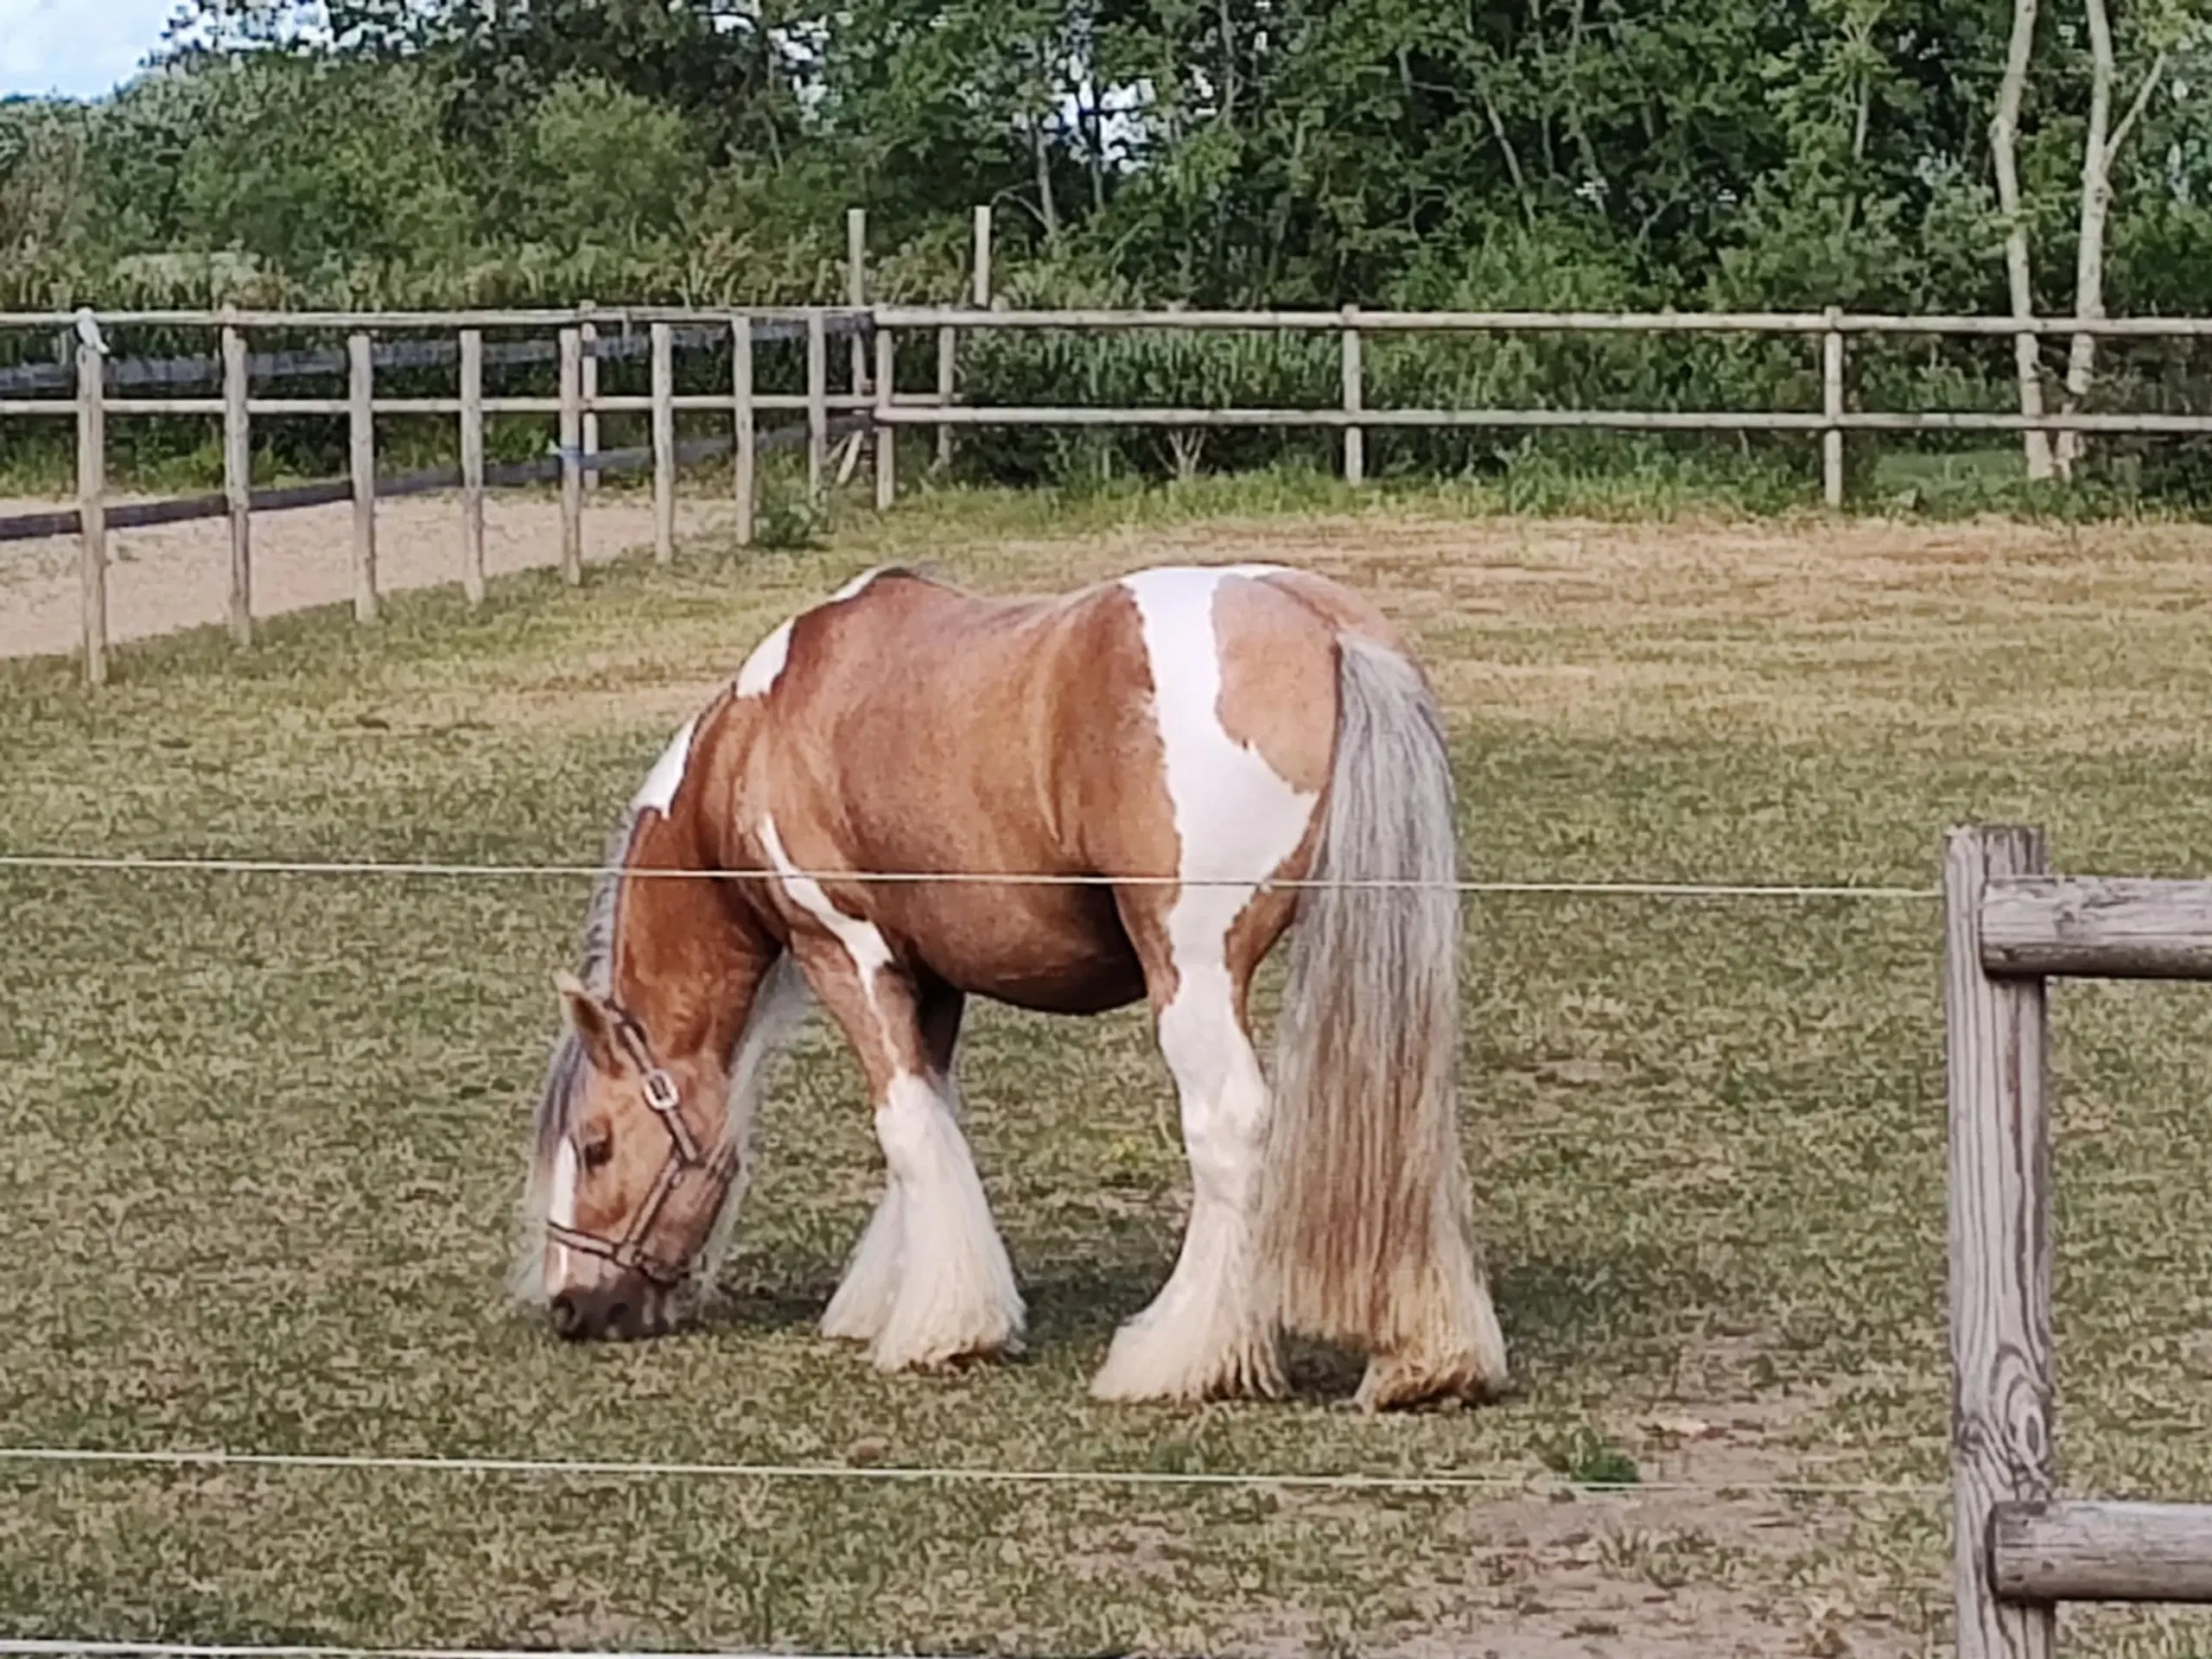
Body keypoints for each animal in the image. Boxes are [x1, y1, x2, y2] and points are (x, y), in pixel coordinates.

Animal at [518, 566, 1503, 1407]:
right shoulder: (932, 976)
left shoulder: (848, 954)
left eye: (596, 1145)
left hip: (1190, 970)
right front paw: (901, 1296)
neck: (759, 736)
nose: (570, 1306)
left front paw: (942, 1331)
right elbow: (935, 1122)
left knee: (1228, 1131)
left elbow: (907, 1129)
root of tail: (1326, 629)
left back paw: (1178, 1356)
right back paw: (1428, 1361)